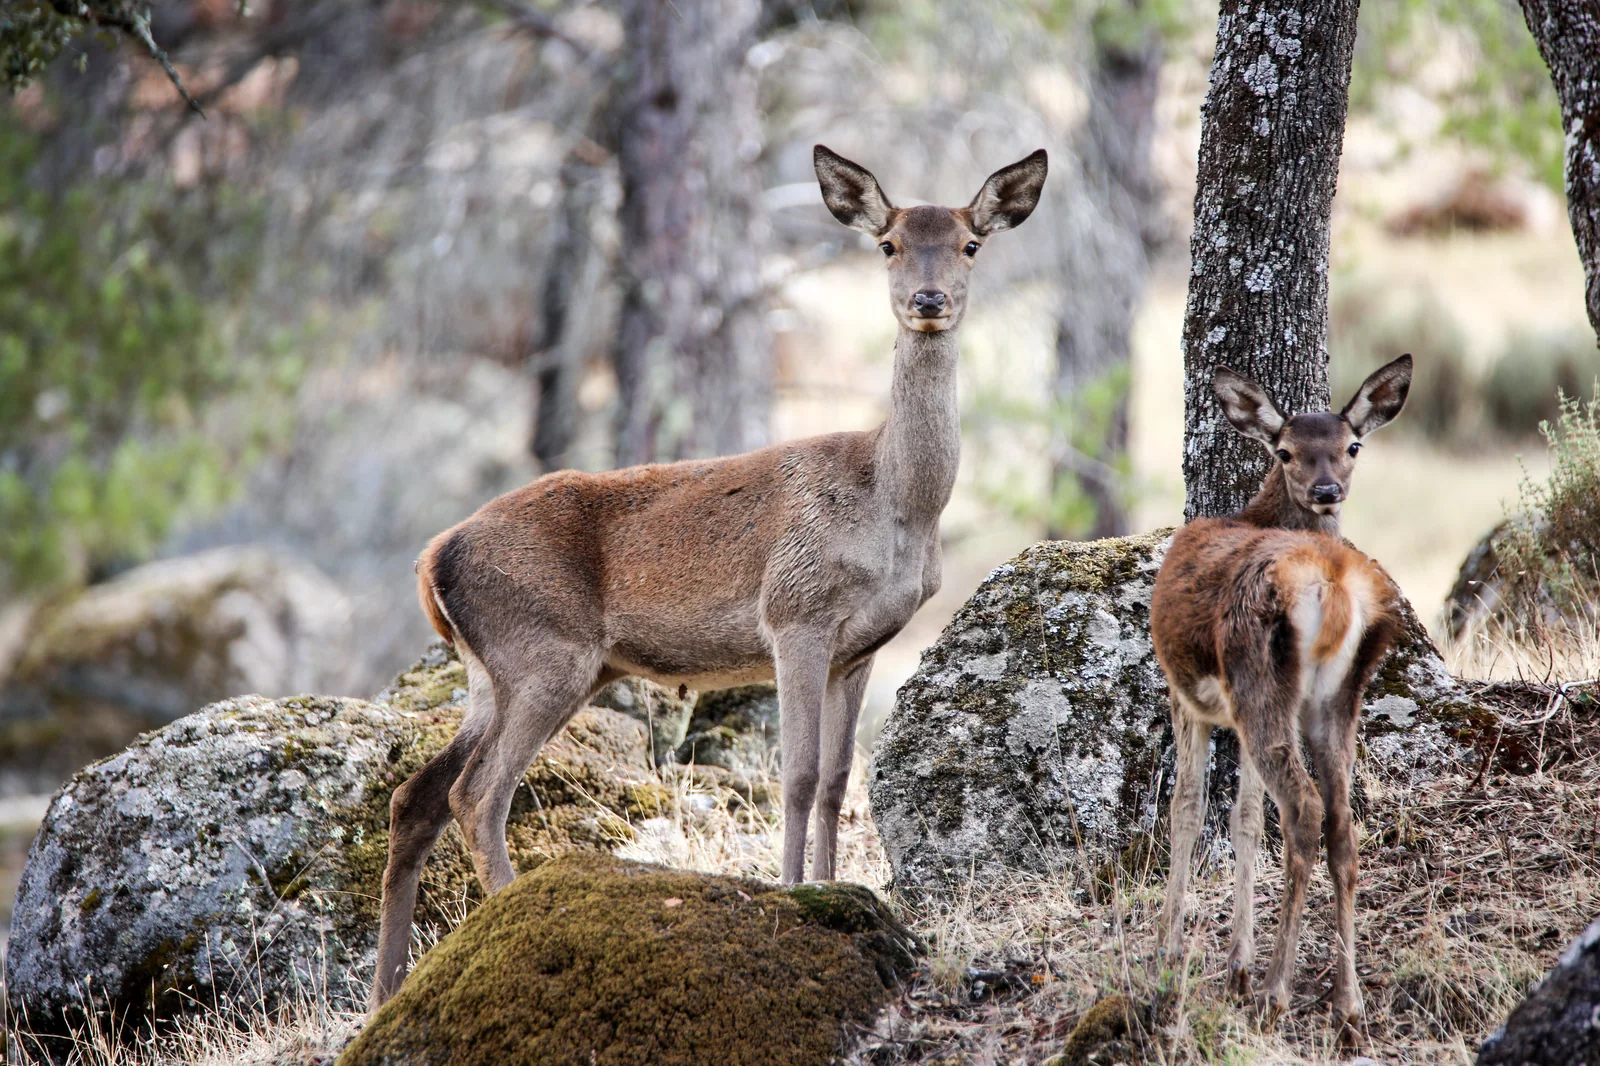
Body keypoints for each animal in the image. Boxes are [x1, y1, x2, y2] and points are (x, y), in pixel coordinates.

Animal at [367, 144, 1049, 1009]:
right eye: (888, 244)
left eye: (969, 244)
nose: (928, 301)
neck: (895, 508)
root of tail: (433, 557)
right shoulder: (795, 612)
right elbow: (797, 776)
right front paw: (793, 893)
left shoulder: (863, 648)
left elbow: (837, 782)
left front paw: (836, 889)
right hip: (546, 651)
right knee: (478, 795)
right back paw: (507, 922)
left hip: (493, 672)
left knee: (415, 795)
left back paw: (387, 992)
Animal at [1149, 354, 1413, 1031]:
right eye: (1288, 451)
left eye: (1352, 446)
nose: (1327, 491)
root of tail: (1336, 584)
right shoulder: (1238, 716)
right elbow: (1242, 818)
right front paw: (1235, 963)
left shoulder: (1186, 694)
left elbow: (1187, 808)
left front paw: (1172, 949)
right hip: (1333, 699)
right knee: (1341, 822)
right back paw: (1347, 1000)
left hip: (1260, 679)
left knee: (1303, 810)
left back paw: (1276, 990)